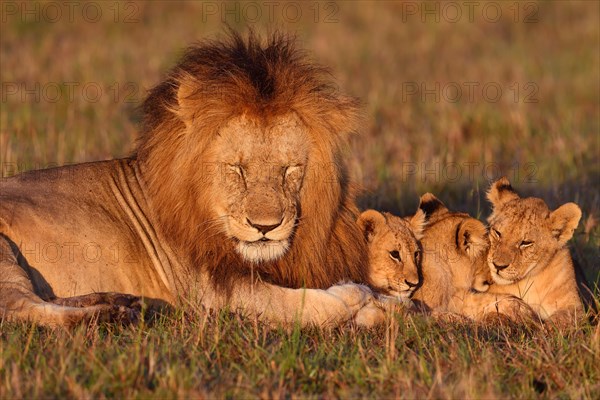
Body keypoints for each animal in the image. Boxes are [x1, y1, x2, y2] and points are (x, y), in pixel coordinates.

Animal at [0, 32, 378, 328]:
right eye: (236, 169)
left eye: (289, 169)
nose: (265, 227)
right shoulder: (213, 294)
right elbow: (301, 304)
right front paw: (357, 295)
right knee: (19, 309)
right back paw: (109, 315)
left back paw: (120, 302)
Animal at [486, 178, 584, 328]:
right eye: (498, 233)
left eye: (525, 243)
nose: (498, 266)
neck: (527, 281)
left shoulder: (576, 308)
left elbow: (561, 319)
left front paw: (543, 330)